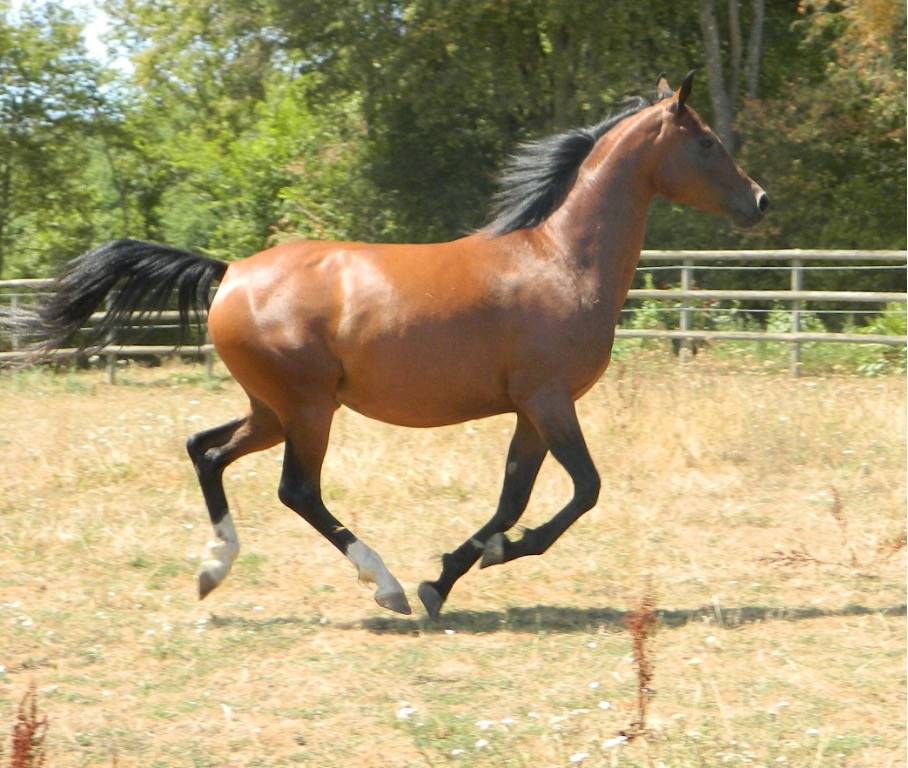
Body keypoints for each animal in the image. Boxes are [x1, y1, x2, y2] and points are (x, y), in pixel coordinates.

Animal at [12, 72, 767, 619]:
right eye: (705, 141)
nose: (759, 200)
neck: (559, 260)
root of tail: (230, 273)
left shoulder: (530, 411)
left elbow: (513, 499)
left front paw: (457, 570)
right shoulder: (551, 401)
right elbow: (583, 490)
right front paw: (476, 565)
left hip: (273, 409)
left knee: (207, 450)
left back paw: (213, 569)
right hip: (309, 408)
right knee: (296, 490)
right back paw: (385, 585)